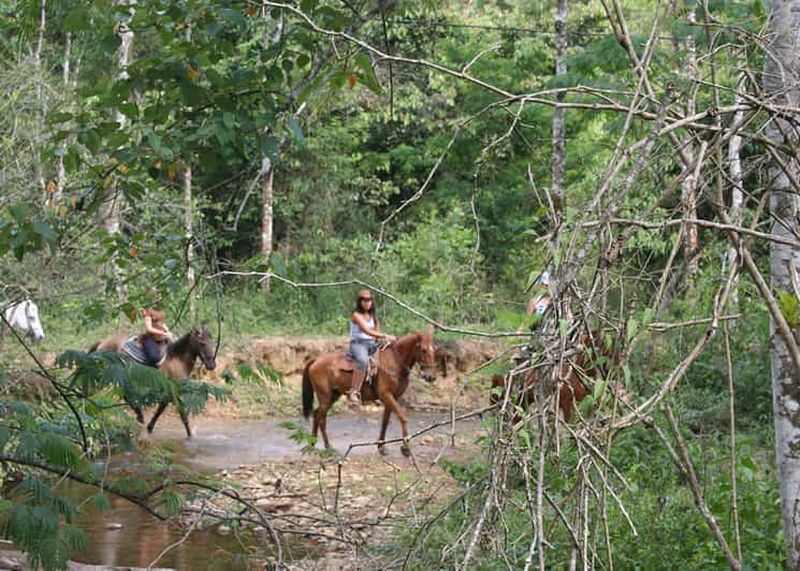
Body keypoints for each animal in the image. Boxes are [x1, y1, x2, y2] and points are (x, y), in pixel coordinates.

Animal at [302, 327, 437, 456]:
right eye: (424, 350)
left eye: (434, 350)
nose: (431, 377)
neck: (395, 361)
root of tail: (315, 360)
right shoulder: (386, 395)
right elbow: (403, 417)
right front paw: (405, 449)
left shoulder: (393, 397)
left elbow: (385, 421)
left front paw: (381, 447)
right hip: (325, 396)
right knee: (320, 417)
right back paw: (324, 447)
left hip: (333, 396)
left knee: (318, 415)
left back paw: (314, 445)